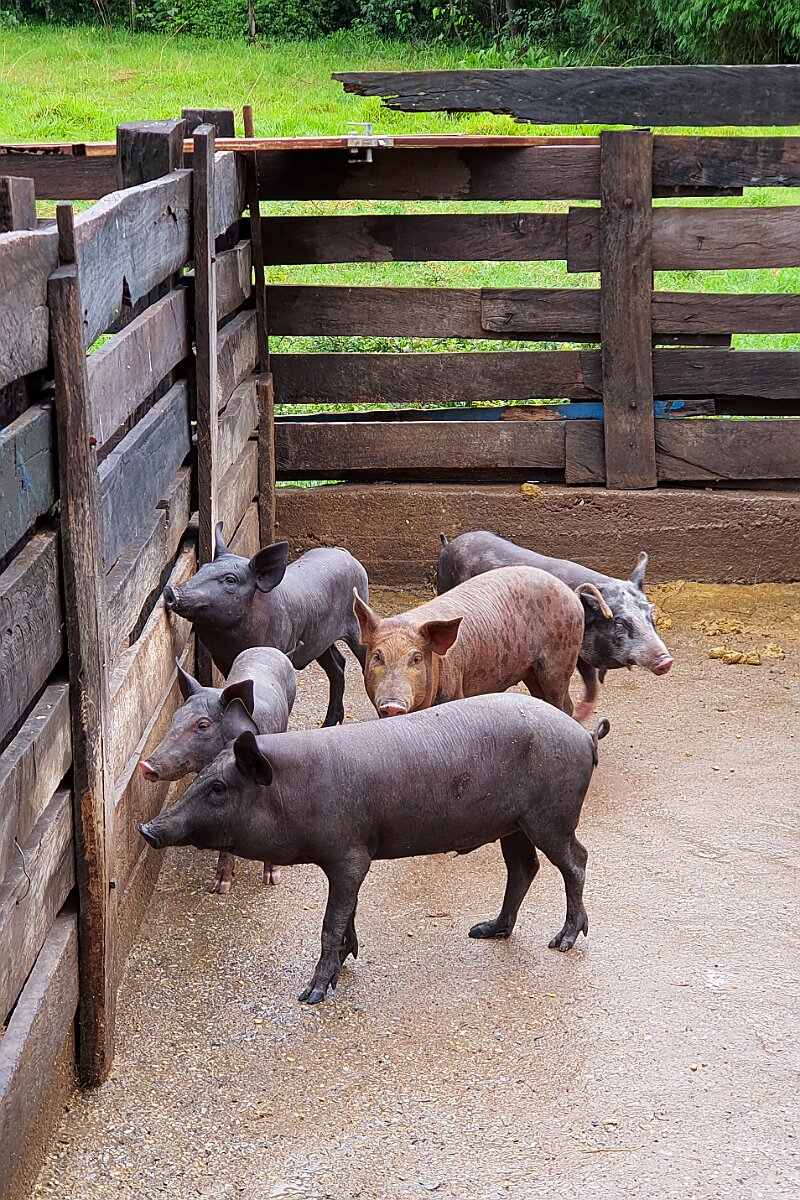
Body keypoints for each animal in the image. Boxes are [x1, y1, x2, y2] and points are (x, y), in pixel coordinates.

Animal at [138, 647, 297, 894]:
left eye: (202, 725)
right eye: (174, 718)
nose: (145, 765)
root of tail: (268, 648)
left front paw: (271, 879)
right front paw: (220, 887)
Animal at [139, 692, 611, 1005]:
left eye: (219, 788)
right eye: (202, 777)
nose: (147, 828)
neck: (294, 789)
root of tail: (586, 735)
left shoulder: (349, 855)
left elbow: (331, 922)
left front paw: (311, 995)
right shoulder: (348, 859)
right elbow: (346, 914)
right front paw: (345, 964)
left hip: (551, 816)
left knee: (576, 860)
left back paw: (562, 942)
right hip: (512, 824)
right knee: (524, 867)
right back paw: (485, 930)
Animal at [163, 522, 368, 727]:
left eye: (230, 579)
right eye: (202, 568)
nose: (171, 590)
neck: (231, 642)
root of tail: (345, 553)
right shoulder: (220, 657)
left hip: (357, 625)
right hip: (319, 639)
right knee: (338, 664)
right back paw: (328, 724)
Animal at [353, 565, 586, 719]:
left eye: (416, 658)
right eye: (378, 656)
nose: (392, 705)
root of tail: (573, 595)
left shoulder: (455, 688)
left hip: (560, 662)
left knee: (563, 702)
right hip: (531, 670)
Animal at [437, 531, 673, 723]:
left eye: (649, 614)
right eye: (620, 622)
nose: (666, 661)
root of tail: (449, 543)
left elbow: (591, 681)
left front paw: (582, 713)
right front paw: (579, 715)